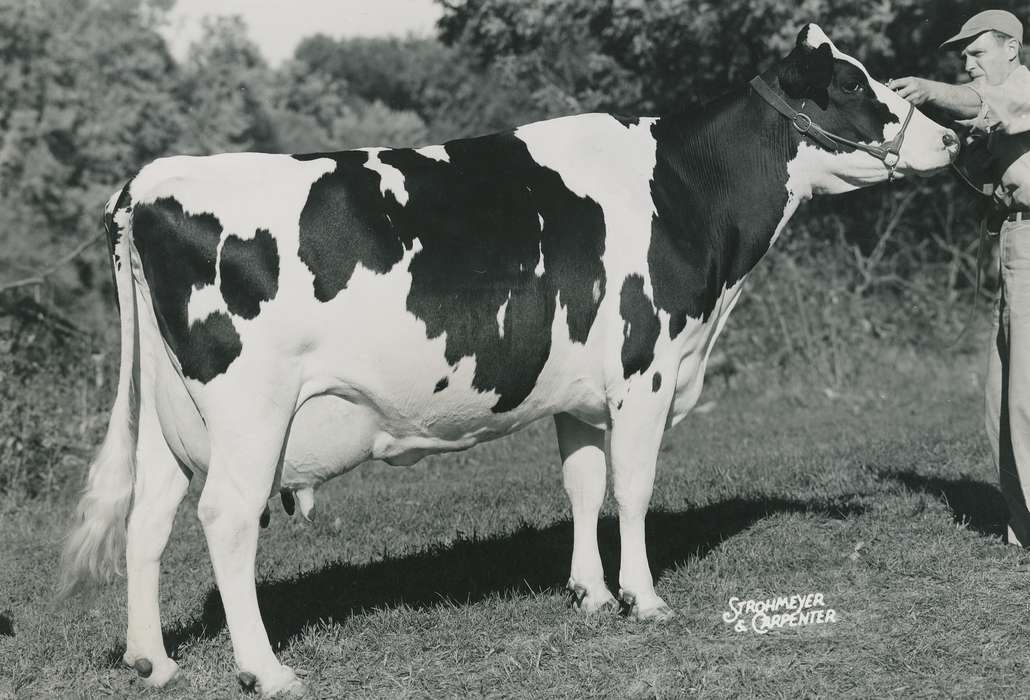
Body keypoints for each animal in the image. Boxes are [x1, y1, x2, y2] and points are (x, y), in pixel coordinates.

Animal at [59, 25, 958, 698]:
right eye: (854, 87)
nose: (950, 134)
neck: (683, 195)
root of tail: (152, 180)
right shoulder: (645, 367)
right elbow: (633, 488)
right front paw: (644, 598)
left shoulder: (579, 392)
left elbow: (584, 485)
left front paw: (590, 593)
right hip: (250, 409)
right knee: (225, 518)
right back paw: (266, 671)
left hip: (168, 416)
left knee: (148, 518)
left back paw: (154, 661)